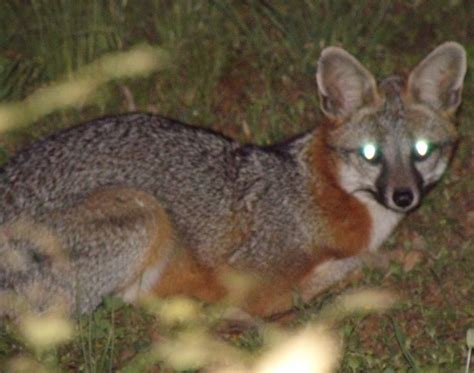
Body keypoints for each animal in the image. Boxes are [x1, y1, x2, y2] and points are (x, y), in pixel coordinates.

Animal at [0, 42, 466, 316]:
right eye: (371, 154)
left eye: (422, 150)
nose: (403, 196)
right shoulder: (260, 286)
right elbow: (348, 267)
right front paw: (399, 258)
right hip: (142, 212)